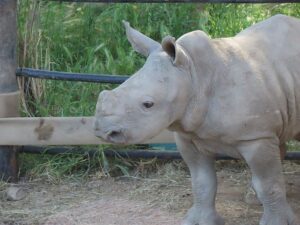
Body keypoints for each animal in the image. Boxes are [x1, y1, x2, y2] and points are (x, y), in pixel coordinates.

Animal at [95, 14, 300, 225]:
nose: (103, 131)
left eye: (148, 104)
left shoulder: (255, 137)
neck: (194, 75)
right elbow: (202, 183)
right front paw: (199, 220)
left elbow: (269, 184)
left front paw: (276, 222)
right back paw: (252, 199)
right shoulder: (189, 136)